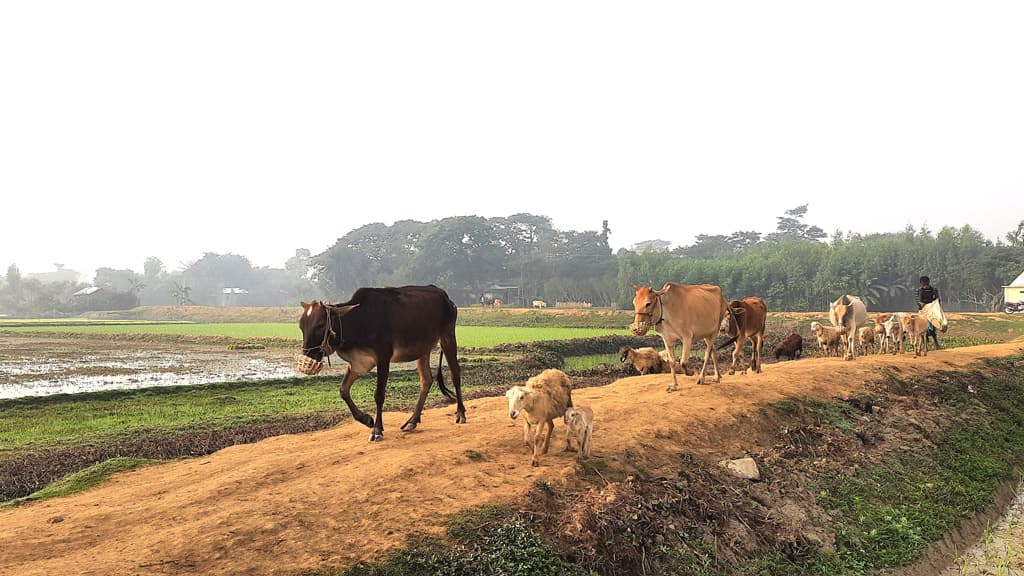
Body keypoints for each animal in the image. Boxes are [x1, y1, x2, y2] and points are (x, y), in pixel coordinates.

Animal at [294, 282, 466, 438]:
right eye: (301, 326)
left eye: (321, 325)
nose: (308, 356)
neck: (358, 320)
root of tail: (445, 296)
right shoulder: (357, 363)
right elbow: (343, 390)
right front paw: (366, 419)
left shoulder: (383, 358)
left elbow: (379, 395)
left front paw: (377, 429)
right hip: (422, 349)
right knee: (426, 380)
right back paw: (412, 421)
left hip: (448, 336)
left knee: (455, 374)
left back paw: (461, 414)